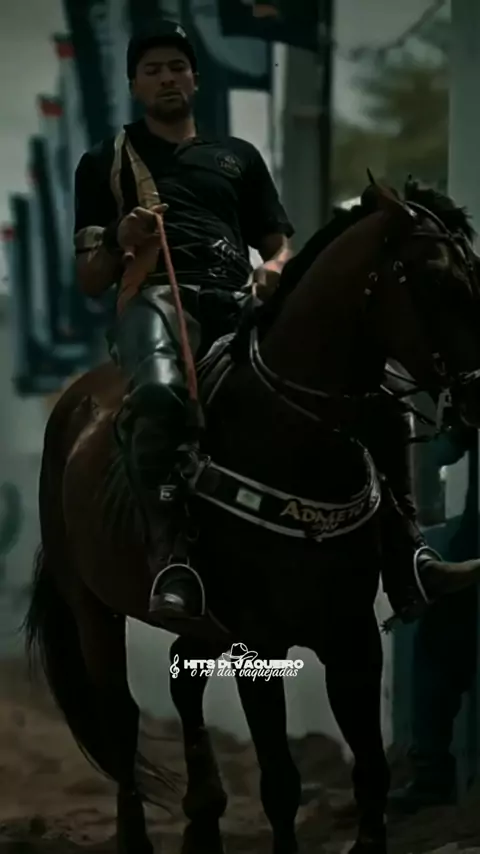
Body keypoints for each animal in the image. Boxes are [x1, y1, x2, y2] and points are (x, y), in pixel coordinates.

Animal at [25, 177, 480, 854]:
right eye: (435, 280)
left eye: (473, 274)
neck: (291, 436)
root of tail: (73, 408)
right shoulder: (259, 642)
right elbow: (280, 783)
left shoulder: (352, 634)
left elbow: (371, 769)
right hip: (92, 608)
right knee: (121, 717)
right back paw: (139, 834)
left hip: (207, 623)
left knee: (182, 676)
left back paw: (204, 818)